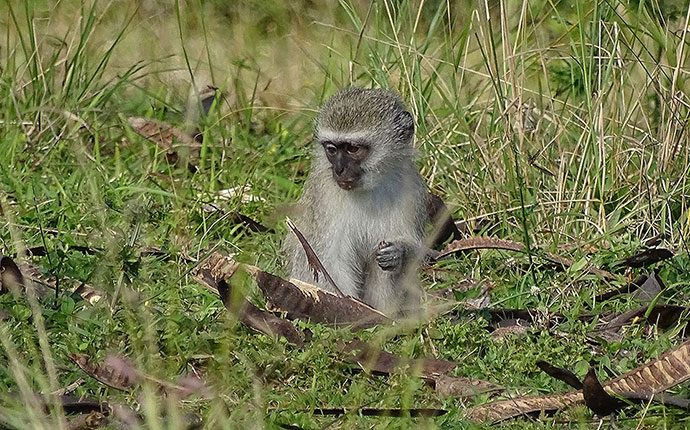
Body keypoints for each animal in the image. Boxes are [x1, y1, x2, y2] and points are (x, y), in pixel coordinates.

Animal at [282, 87, 428, 316]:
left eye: (352, 149)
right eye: (332, 149)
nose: (339, 169)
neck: (368, 188)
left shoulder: (411, 188)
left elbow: (410, 253)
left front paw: (398, 252)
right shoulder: (324, 193)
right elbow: (330, 260)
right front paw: (350, 308)